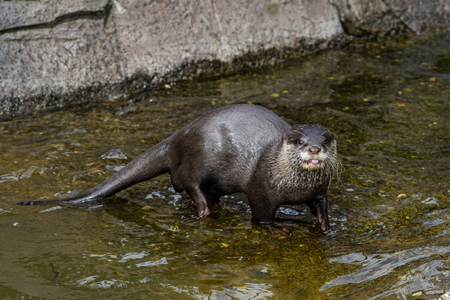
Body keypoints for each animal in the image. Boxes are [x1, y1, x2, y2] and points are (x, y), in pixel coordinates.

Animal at [17, 105, 342, 234]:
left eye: (326, 140)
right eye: (300, 141)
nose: (315, 149)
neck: (294, 188)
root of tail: (178, 136)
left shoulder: (319, 191)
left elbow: (322, 206)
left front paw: (326, 228)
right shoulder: (262, 190)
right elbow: (261, 216)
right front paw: (275, 228)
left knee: (211, 193)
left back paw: (226, 207)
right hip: (197, 162)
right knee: (191, 186)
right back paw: (205, 212)